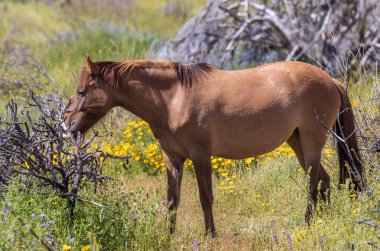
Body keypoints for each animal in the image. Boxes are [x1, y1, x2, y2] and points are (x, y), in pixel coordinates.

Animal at [63, 54, 364, 235]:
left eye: (81, 92)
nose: (67, 123)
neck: (174, 100)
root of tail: (331, 80)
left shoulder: (201, 156)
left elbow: (205, 197)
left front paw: (210, 234)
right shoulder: (172, 158)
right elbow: (172, 200)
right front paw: (168, 234)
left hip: (312, 141)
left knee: (313, 183)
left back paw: (308, 222)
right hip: (297, 140)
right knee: (324, 181)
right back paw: (322, 221)